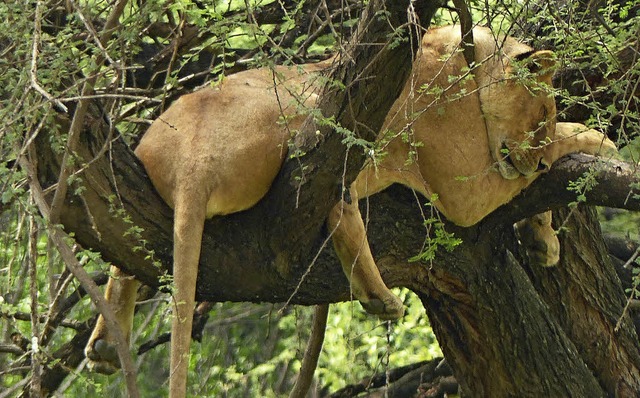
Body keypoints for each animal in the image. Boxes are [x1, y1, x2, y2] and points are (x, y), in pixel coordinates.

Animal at [84, 25, 616, 398]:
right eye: (539, 116)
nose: (537, 159)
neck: (470, 58)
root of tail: (191, 158)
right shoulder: (463, 188)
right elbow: (568, 139)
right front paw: (600, 145)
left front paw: (542, 239)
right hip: (293, 110)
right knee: (336, 203)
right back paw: (379, 295)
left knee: (125, 260)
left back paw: (105, 348)